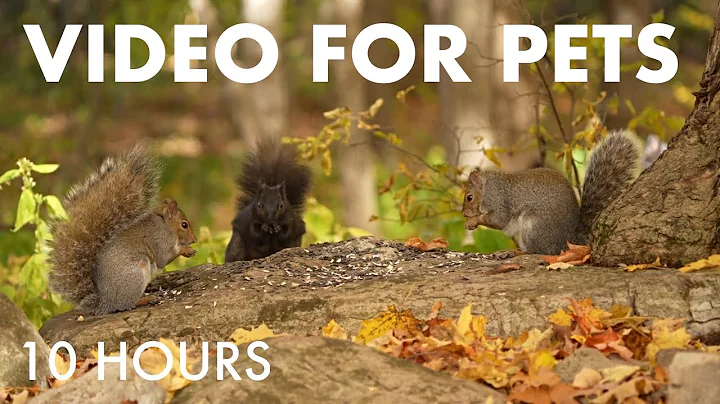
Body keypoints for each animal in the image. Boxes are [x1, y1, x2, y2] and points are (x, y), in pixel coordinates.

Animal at [48, 146, 197, 315]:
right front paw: (185, 250)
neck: (164, 224)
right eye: (184, 225)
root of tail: (104, 303)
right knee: (126, 305)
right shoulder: (160, 240)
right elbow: (163, 258)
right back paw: (146, 299)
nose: (194, 240)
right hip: (136, 273)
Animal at [462, 129, 642, 255]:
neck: (488, 188)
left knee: (537, 250)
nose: (464, 214)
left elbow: (498, 220)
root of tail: (567, 240)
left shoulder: (499, 200)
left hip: (533, 228)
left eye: (469, 197)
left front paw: (473, 221)